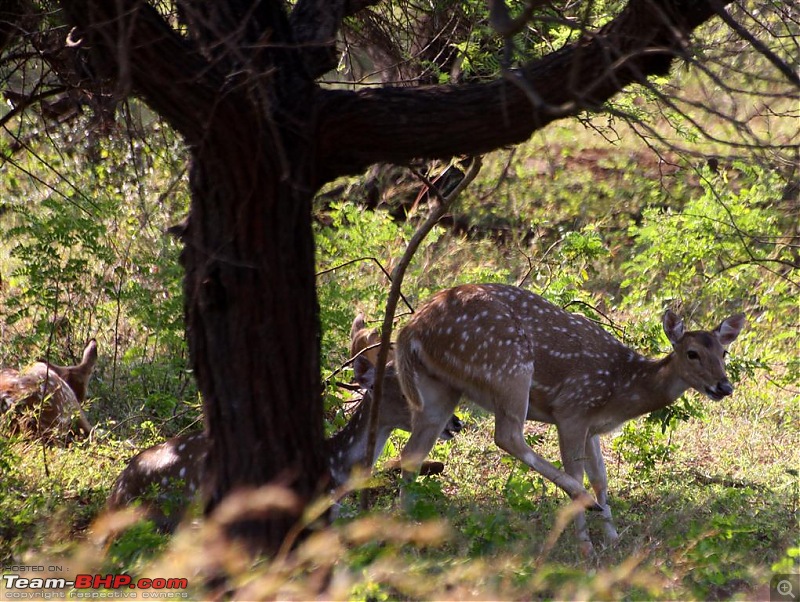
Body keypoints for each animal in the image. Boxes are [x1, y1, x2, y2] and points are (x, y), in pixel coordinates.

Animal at [396, 284, 748, 556]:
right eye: (692, 353)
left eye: (724, 352)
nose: (724, 386)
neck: (622, 388)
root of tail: (410, 329)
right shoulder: (573, 410)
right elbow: (578, 473)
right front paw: (586, 546)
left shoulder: (592, 427)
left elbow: (601, 477)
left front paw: (613, 538)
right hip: (508, 365)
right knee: (507, 435)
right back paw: (585, 502)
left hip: (439, 387)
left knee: (412, 453)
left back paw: (402, 530)